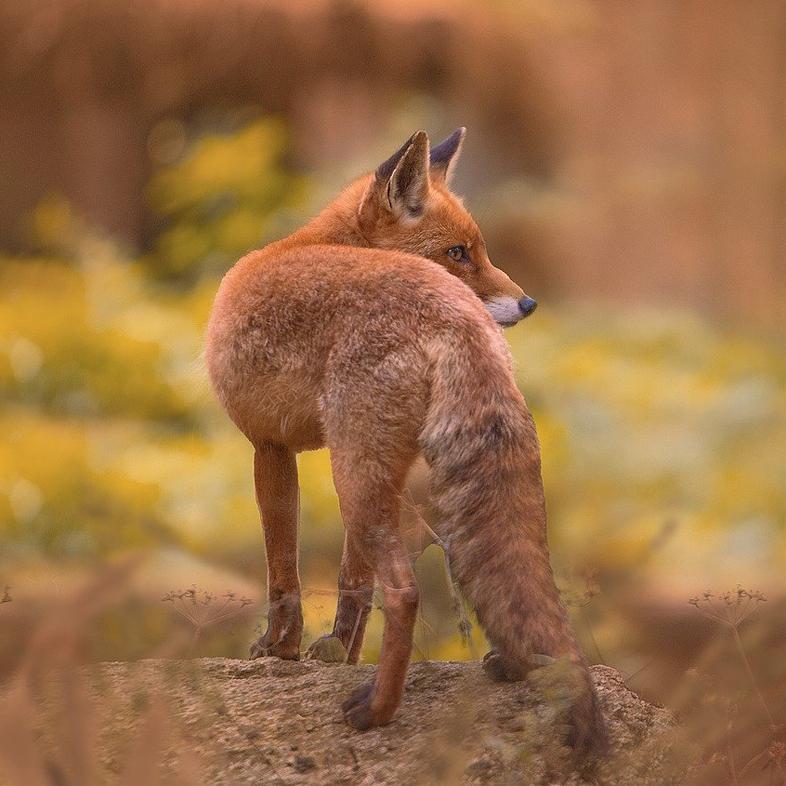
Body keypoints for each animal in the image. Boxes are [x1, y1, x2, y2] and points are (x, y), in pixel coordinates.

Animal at [205, 129, 608, 756]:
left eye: (479, 250)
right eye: (459, 253)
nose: (529, 304)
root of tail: (454, 318)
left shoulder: (268, 447)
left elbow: (283, 575)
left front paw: (280, 651)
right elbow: (351, 585)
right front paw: (336, 656)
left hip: (357, 477)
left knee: (404, 593)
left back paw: (378, 710)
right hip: (421, 483)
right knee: (514, 583)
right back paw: (515, 666)